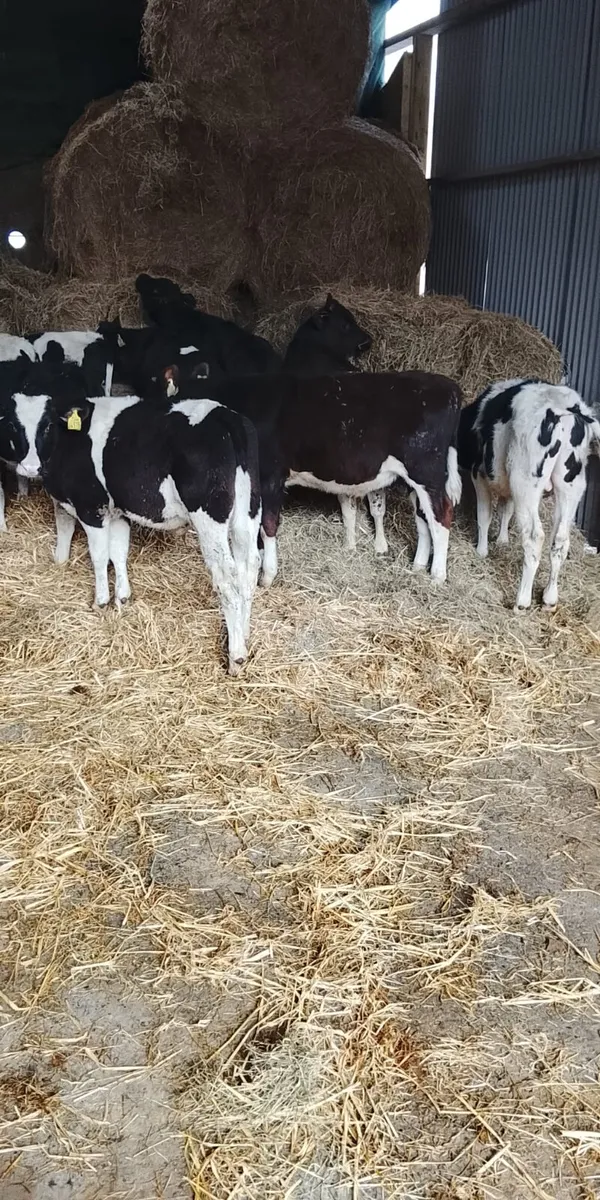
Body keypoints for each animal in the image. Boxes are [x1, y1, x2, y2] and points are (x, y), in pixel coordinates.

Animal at [36, 367, 262, 674]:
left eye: (47, 425)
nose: (31, 466)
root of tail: (227, 417)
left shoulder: (91, 506)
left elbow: (99, 555)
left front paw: (101, 602)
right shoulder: (117, 511)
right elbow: (118, 552)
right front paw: (122, 598)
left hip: (209, 516)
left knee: (227, 577)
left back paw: (236, 656)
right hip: (248, 512)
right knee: (248, 568)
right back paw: (244, 634)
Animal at [161, 367, 463, 589]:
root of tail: (449, 386)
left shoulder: (270, 475)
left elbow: (268, 525)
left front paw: (267, 575)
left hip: (426, 472)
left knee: (441, 516)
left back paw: (437, 576)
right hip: (417, 481)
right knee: (424, 518)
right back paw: (418, 566)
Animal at [458, 378, 600, 610]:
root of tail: (568, 406)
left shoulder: (479, 474)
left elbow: (484, 516)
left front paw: (481, 551)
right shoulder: (507, 486)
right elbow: (506, 510)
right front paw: (503, 541)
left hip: (525, 482)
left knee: (535, 537)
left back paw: (522, 600)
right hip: (572, 486)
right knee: (560, 539)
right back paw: (550, 598)